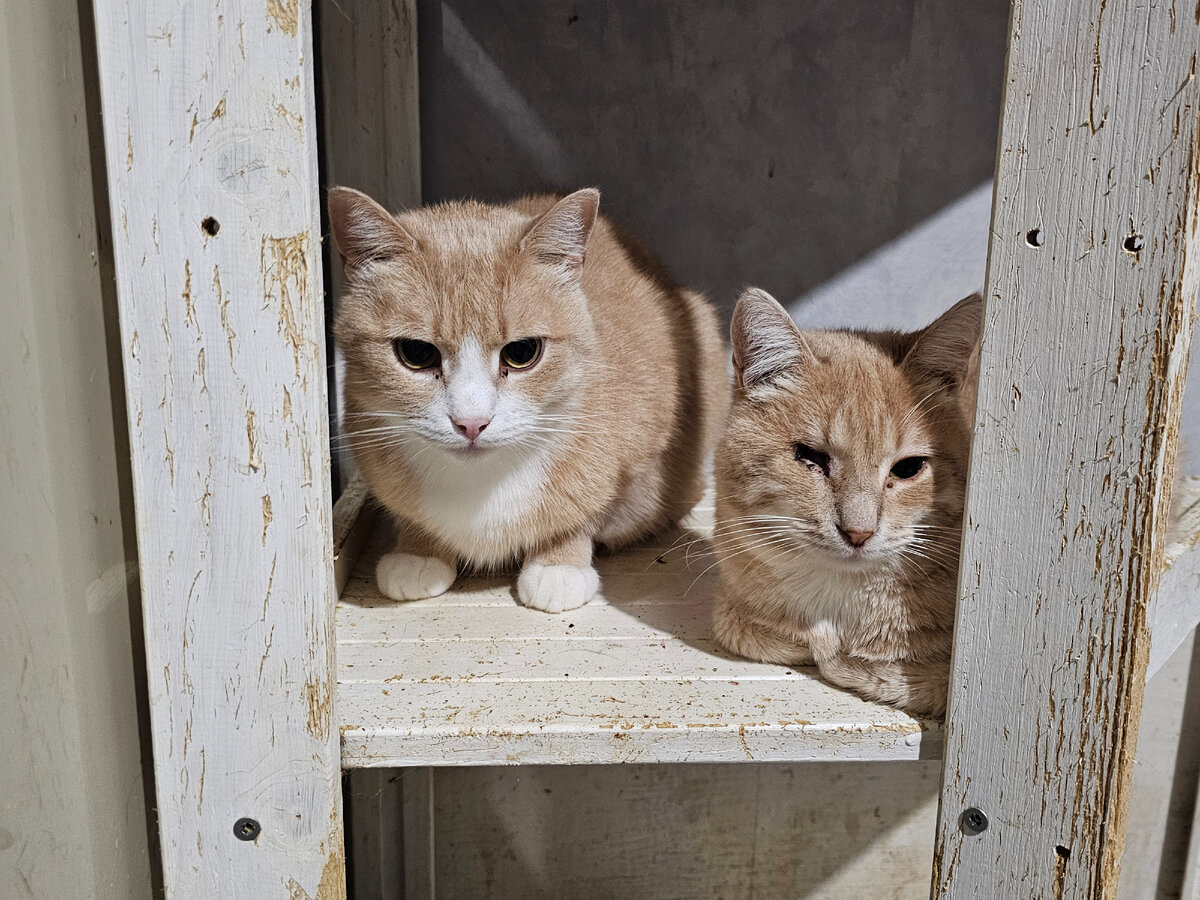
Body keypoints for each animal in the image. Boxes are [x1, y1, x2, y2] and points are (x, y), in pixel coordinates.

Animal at [328, 187, 724, 619]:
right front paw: (418, 550)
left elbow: (589, 511)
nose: (472, 423)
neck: (480, 486)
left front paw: (559, 563)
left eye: (522, 353)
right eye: (416, 353)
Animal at [705, 289, 979, 720]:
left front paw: (847, 661)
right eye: (810, 458)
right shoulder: (734, 607)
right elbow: (749, 630)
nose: (858, 532)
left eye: (909, 468)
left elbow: (899, 677)